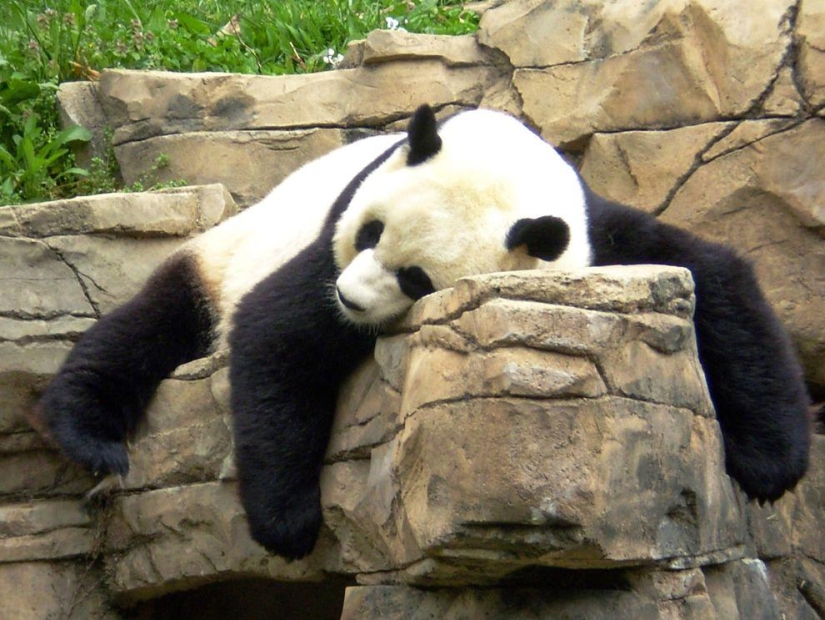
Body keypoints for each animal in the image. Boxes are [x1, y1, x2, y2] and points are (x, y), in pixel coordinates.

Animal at [36, 104, 811, 561]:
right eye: (371, 231)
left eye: (416, 278)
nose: (350, 300)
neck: (510, 156)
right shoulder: (329, 235)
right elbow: (278, 335)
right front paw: (289, 524)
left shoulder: (590, 230)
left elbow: (713, 276)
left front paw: (769, 463)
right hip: (227, 250)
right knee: (150, 326)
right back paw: (89, 433)